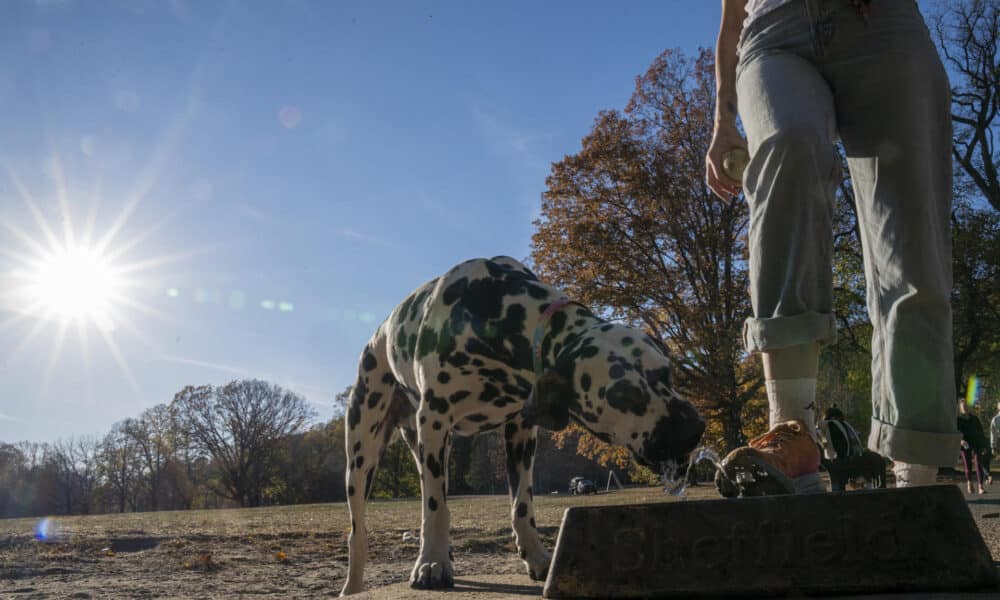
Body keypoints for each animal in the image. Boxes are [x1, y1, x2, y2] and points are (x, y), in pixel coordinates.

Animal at [340, 254, 708, 596]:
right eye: (624, 394)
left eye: (667, 372)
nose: (693, 429)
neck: (495, 311)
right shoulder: (434, 420)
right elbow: (435, 506)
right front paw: (432, 563)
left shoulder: (521, 433)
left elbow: (521, 505)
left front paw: (537, 558)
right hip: (363, 458)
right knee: (359, 534)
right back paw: (354, 585)